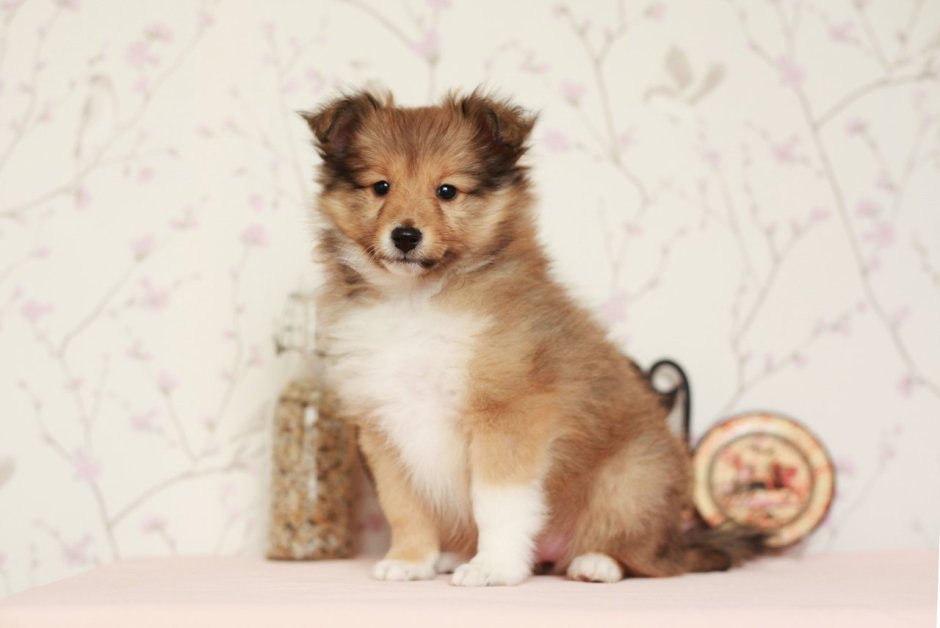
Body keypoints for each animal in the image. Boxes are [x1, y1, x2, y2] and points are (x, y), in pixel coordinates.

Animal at [304, 89, 763, 586]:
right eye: (380, 187)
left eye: (447, 191)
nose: (405, 236)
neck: (417, 299)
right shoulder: (382, 426)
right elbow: (404, 506)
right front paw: (410, 561)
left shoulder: (508, 412)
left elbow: (497, 503)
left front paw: (493, 568)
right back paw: (455, 555)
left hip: (632, 480)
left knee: (644, 554)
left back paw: (596, 563)